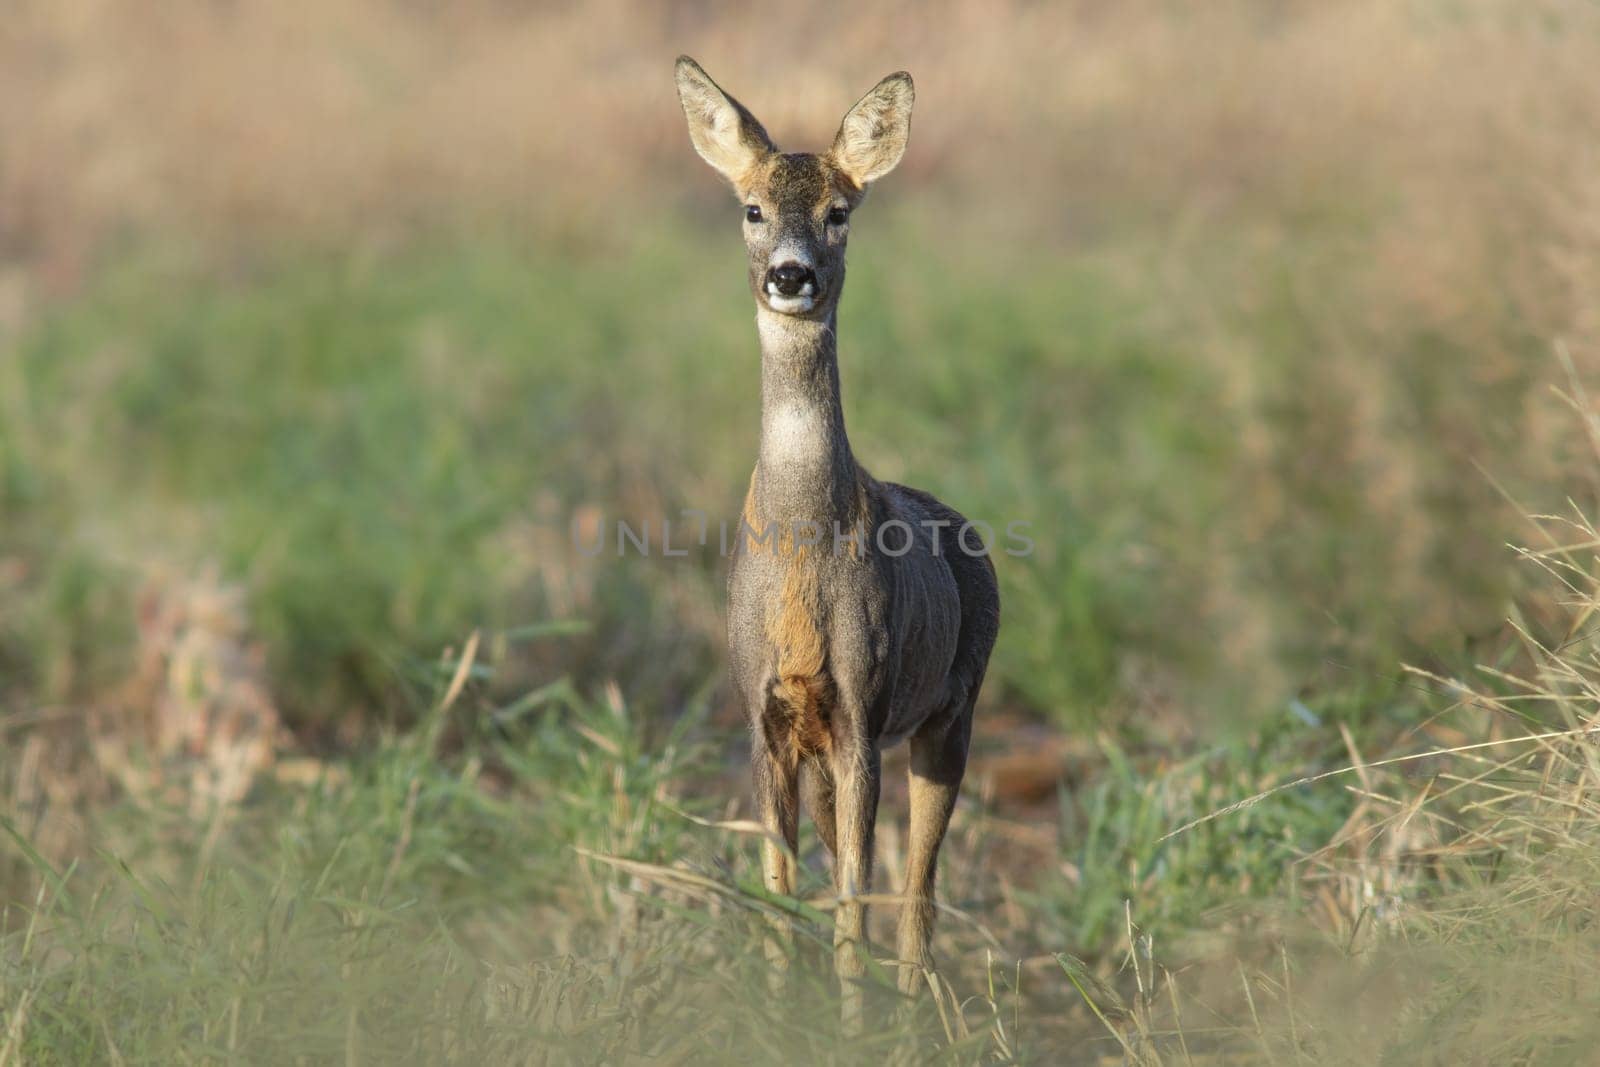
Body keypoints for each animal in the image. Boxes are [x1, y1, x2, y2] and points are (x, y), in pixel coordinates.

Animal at [672, 56, 998, 1017]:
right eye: (750, 208)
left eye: (839, 211)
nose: (791, 275)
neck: (799, 551)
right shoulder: (763, 711)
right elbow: (782, 889)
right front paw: (783, 1012)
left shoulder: (863, 708)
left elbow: (857, 890)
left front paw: (851, 1023)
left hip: (953, 710)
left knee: (919, 893)